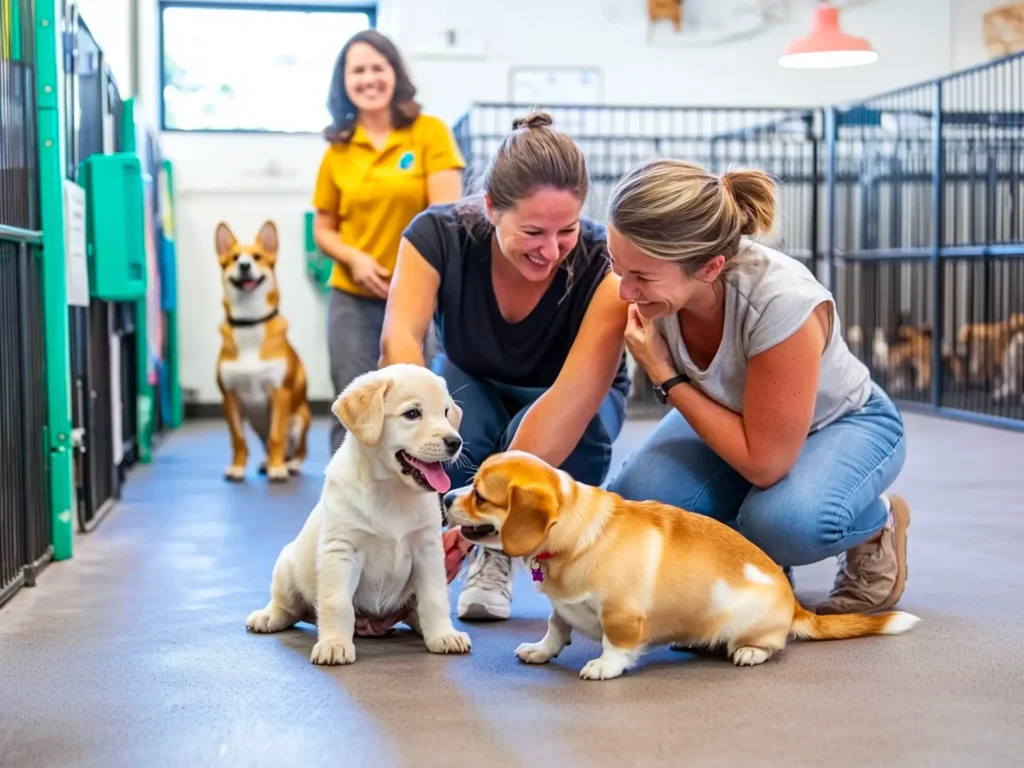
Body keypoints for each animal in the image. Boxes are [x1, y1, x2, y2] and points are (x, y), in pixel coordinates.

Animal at [214, 221, 309, 481]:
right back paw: (268, 462)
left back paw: (288, 464)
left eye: (257, 257)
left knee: (298, 450)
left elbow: (277, 436)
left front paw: (278, 470)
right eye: (234, 258)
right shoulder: (229, 397)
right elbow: (238, 439)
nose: (245, 266)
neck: (249, 322)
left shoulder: (280, 393)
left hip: (300, 418)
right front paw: (237, 468)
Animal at [247, 366, 471, 667]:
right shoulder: (341, 551)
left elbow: (435, 598)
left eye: (446, 412)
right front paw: (334, 644)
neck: (391, 490)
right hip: (287, 568)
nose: (455, 442)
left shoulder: (428, 551)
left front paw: (442, 635)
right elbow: (336, 602)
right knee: (287, 607)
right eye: (413, 414)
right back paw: (267, 617)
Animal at [448, 448, 921, 684]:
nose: (446, 496)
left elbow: (616, 645)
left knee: (771, 645)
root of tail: (793, 604)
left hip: (748, 624)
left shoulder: (621, 615)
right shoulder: (563, 608)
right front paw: (541, 651)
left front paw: (604, 666)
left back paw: (749, 652)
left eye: (481, 496)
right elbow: (555, 627)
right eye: (470, 485)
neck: (577, 533)